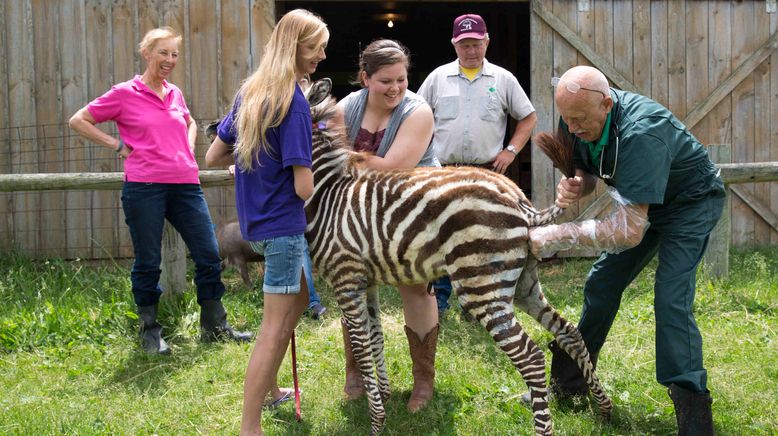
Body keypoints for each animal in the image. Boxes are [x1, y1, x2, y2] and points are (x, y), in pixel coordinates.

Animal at [300, 79, 608, 436]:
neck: (327, 196)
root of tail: (521, 202)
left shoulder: (346, 278)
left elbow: (361, 347)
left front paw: (376, 423)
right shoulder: (367, 281)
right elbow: (375, 339)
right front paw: (385, 399)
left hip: (481, 287)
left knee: (531, 358)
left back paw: (545, 428)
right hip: (522, 283)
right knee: (569, 332)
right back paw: (605, 408)